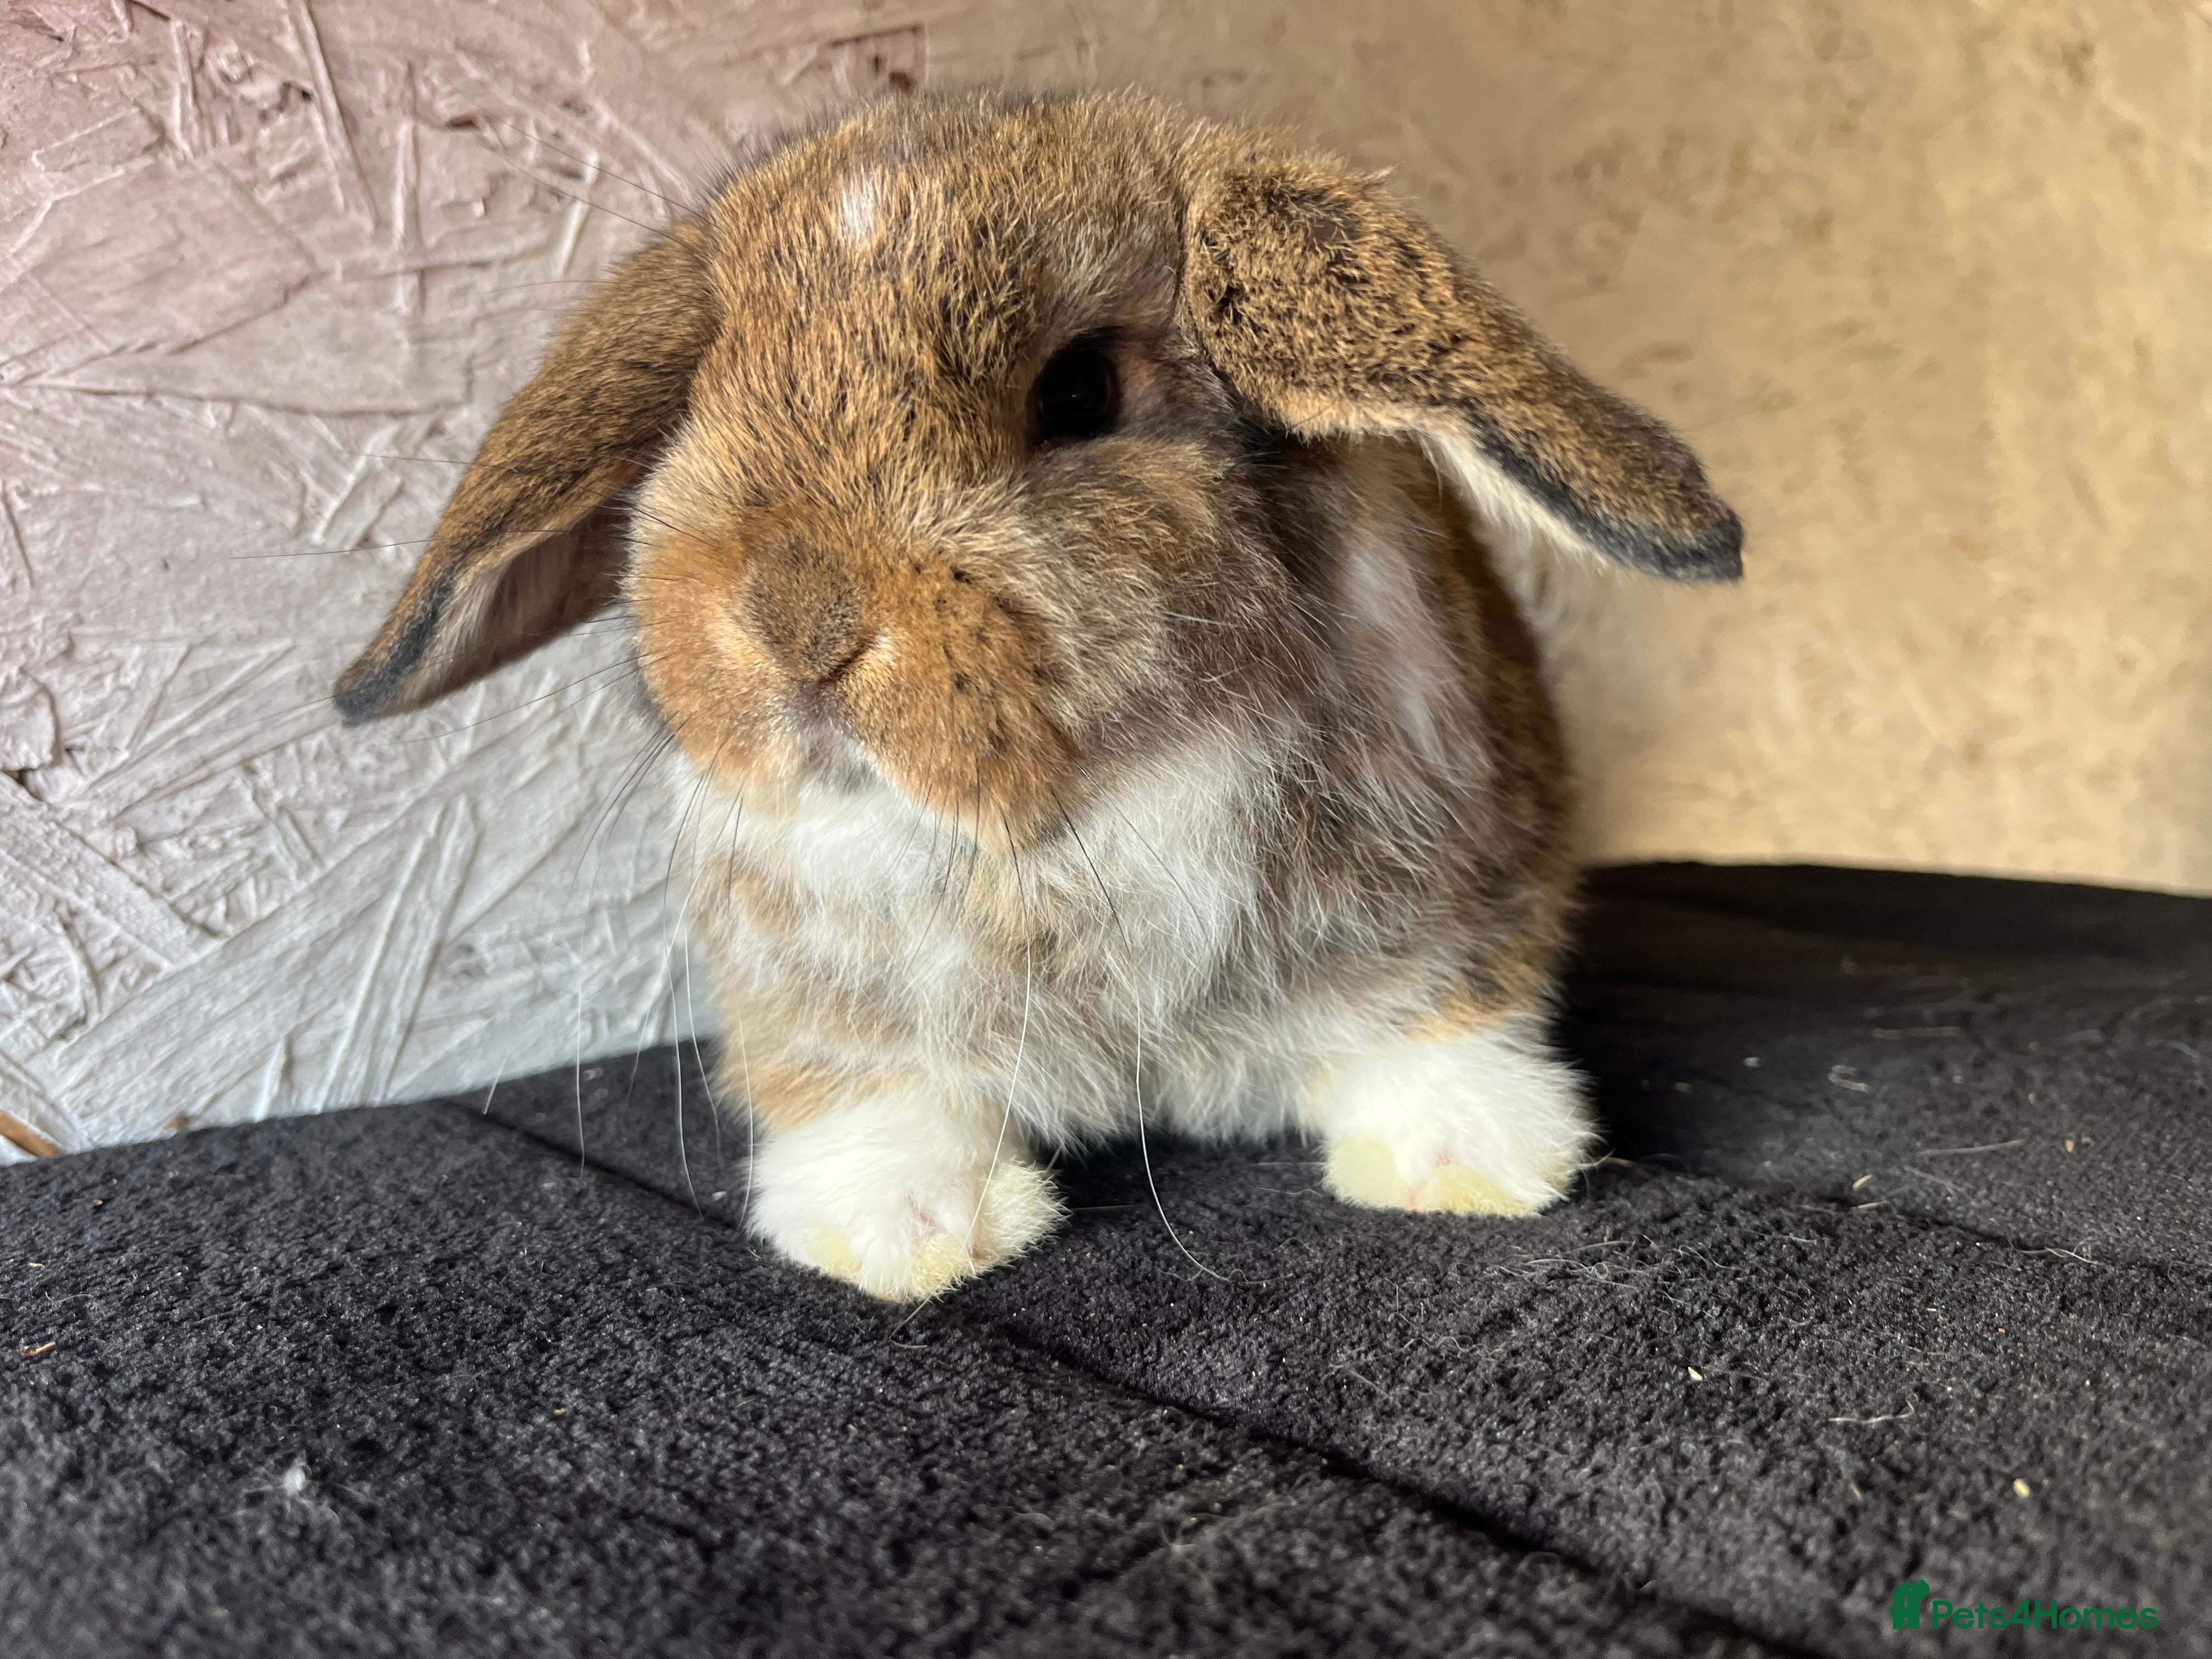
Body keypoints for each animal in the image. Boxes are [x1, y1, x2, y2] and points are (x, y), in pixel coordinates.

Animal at [335, 92, 1741, 1302]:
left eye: (1080, 392)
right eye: (701, 400)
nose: (796, 624)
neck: (1071, 816)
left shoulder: (1466, 879)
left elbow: (1435, 1017)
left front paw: (1467, 1156)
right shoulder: (816, 1005)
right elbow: (872, 1097)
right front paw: (899, 1233)